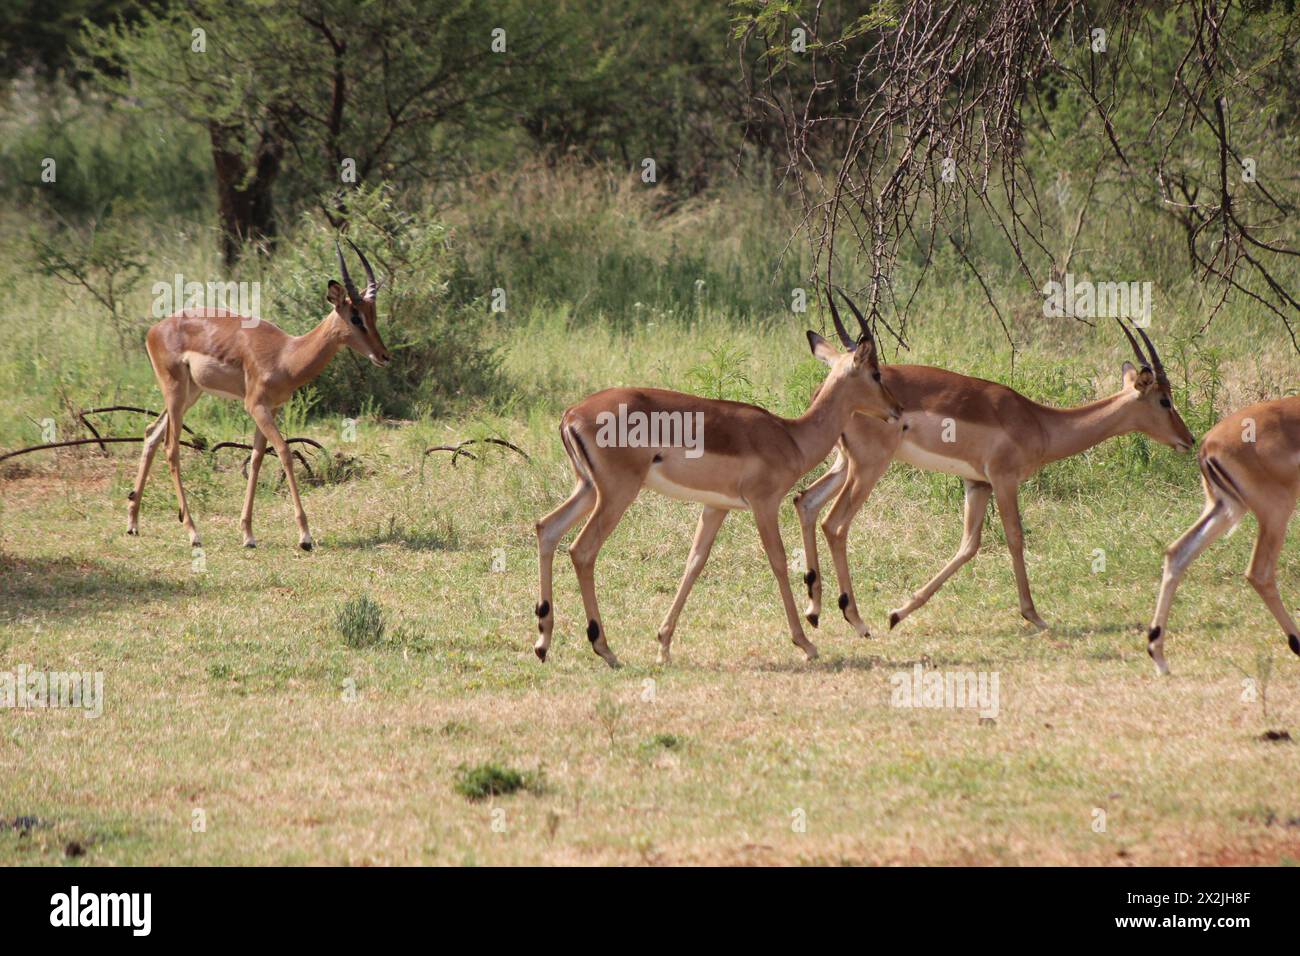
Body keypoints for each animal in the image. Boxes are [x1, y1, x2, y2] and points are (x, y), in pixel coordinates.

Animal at [126, 243, 390, 548]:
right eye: (355, 317)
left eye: (373, 314)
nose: (384, 355)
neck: (286, 355)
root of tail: (153, 330)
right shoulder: (256, 406)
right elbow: (285, 452)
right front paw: (305, 536)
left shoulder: (270, 408)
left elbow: (256, 458)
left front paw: (248, 534)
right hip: (176, 392)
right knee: (171, 447)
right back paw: (193, 533)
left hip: (190, 393)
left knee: (151, 433)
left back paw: (132, 523)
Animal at [533, 295, 899, 671]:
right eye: (875, 373)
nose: (897, 409)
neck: (791, 436)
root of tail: (571, 414)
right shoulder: (764, 504)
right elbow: (779, 561)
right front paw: (806, 643)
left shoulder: (716, 506)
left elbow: (695, 561)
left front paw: (663, 644)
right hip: (616, 494)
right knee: (581, 549)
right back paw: (604, 648)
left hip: (588, 489)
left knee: (546, 528)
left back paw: (543, 644)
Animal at [785, 310, 1190, 634]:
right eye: (1164, 400)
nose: (1187, 438)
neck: (1040, 422)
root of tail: (826, 387)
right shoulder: (1004, 480)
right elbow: (1015, 538)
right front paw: (1035, 616)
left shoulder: (977, 484)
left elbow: (968, 545)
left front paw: (898, 612)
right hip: (868, 468)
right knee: (835, 524)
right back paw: (855, 619)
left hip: (843, 464)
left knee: (805, 502)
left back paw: (815, 613)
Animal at [1149, 400, 1300, 676]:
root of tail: (1208, 445)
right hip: (1276, 512)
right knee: (1258, 573)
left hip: (1226, 508)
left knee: (1177, 553)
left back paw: (1159, 658)